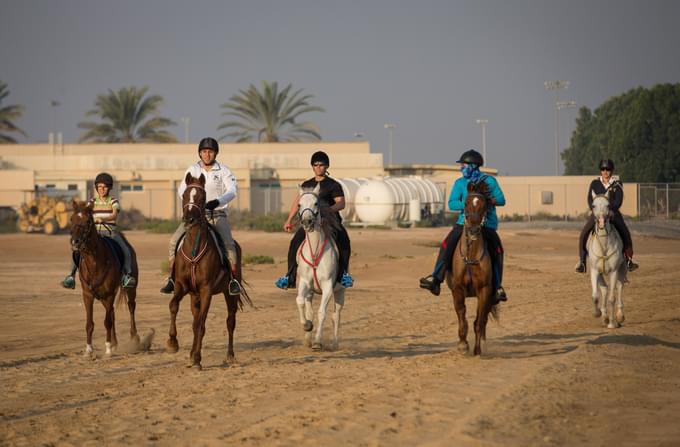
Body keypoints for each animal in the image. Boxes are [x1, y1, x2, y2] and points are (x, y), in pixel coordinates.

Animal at [69, 201, 139, 358]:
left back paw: (134, 339)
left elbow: (107, 322)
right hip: (102, 297)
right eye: (71, 219)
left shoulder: (109, 294)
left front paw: (108, 349)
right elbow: (90, 323)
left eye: (88, 221)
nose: (75, 242)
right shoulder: (88, 295)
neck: (95, 262)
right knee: (112, 312)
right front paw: (89, 350)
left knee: (131, 308)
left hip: (130, 289)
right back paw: (115, 343)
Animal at [166, 172, 251, 372]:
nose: (189, 220)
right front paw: (173, 343)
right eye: (185, 194)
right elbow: (174, 307)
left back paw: (230, 357)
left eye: (202, 197)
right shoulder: (181, 287)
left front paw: (197, 358)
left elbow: (201, 325)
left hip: (229, 294)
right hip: (194, 296)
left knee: (230, 322)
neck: (194, 249)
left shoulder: (206, 291)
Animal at [294, 184, 346, 352]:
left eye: (316, 203)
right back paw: (308, 338)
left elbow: (322, 313)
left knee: (336, 315)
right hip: (311, 292)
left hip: (340, 291)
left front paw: (317, 342)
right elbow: (300, 301)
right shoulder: (304, 282)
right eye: (299, 204)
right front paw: (307, 326)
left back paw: (334, 343)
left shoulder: (328, 286)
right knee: (309, 309)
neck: (315, 252)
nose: (307, 221)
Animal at [446, 182, 500, 356]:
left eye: (485, 205)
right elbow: (462, 316)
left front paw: (477, 350)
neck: (470, 256)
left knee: (483, 320)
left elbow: (479, 321)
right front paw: (463, 345)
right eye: (465, 203)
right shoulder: (457, 289)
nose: (474, 230)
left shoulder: (484, 290)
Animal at [584, 192, 628, 328]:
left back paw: (619, 317)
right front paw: (597, 313)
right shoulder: (594, 271)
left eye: (608, 205)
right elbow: (595, 296)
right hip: (601, 273)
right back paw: (604, 317)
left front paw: (612, 323)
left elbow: (612, 298)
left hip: (622, 269)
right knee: (604, 289)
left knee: (619, 288)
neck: (604, 245)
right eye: (593, 205)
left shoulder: (614, 271)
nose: (601, 222)